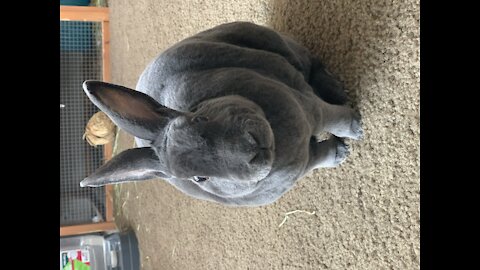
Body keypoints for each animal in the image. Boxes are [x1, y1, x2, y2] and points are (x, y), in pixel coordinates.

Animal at [80, 21, 362, 207]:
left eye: (198, 117)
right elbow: (320, 154)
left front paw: (357, 127)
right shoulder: (304, 157)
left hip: (270, 41)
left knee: (311, 65)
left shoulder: (308, 106)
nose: (247, 149)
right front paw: (341, 152)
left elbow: (334, 118)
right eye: (199, 178)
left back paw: (335, 89)